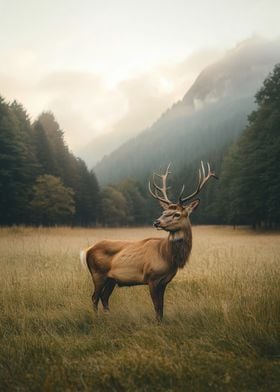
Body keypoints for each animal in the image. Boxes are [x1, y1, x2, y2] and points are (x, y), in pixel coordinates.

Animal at [80, 161, 218, 320]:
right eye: (164, 212)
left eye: (177, 214)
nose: (156, 222)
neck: (167, 256)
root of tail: (87, 250)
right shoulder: (152, 278)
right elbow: (157, 307)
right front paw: (157, 323)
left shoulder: (165, 281)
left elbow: (162, 307)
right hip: (98, 274)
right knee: (94, 297)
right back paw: (96, 318)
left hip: (111, 279)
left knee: (104, 297)